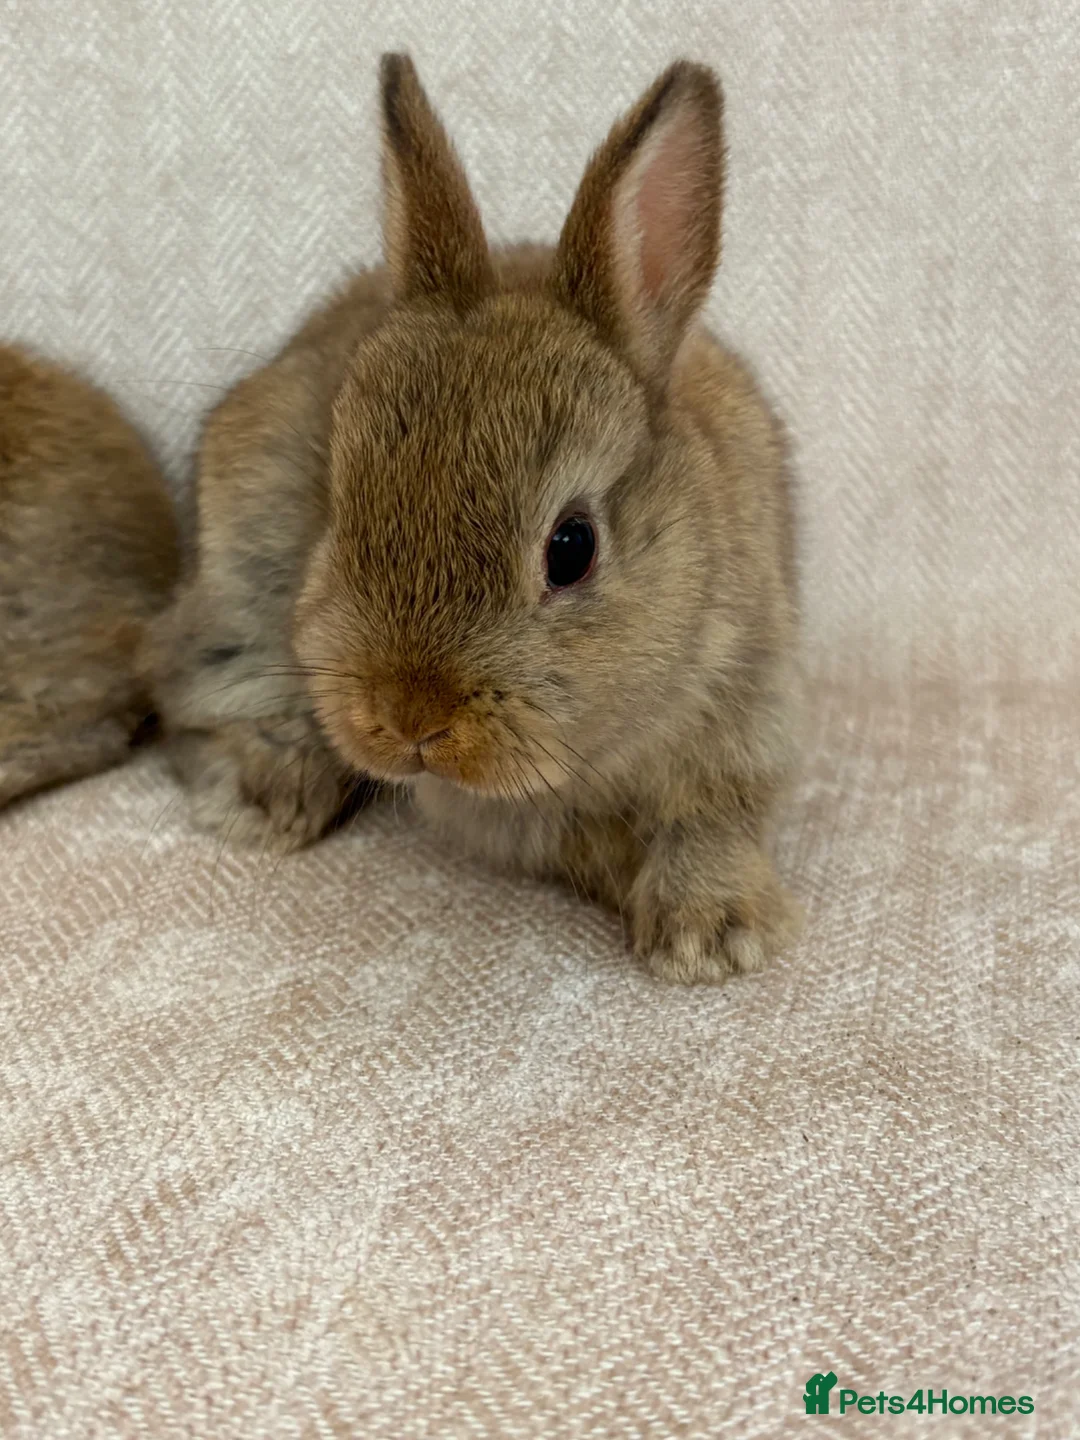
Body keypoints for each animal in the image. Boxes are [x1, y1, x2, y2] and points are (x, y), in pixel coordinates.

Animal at [149, 54, 801, 983]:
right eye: (339, 506)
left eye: (572, 548)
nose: (409, 719)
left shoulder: (751, 700)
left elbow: (714, 819)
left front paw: (711, 935)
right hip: (242, 580)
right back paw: (267, 799)